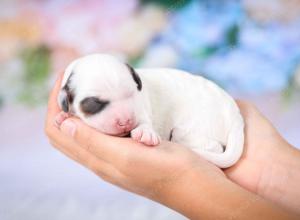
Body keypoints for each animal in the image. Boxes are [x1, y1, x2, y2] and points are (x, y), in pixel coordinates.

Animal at [58, 54, 244, 168]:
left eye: (131, 93)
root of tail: (237, 118)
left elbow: (144, 121)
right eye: (95, 104)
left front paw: (145, 133)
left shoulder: (141, 108)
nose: (125, 121)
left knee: (213, 146)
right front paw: (62, 116)